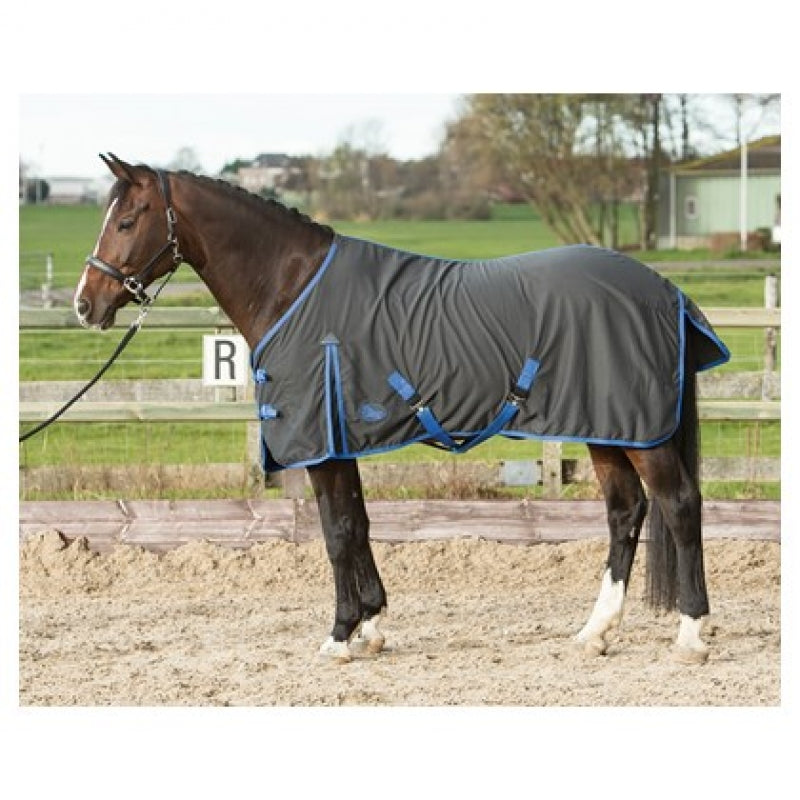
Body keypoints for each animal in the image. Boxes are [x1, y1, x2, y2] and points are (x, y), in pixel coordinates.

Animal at [74, 153, 730, 665]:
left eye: (127, 221)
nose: (85, 304)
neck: (292, 286)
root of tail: (664, 289)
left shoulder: (323, 443)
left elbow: (336, 532)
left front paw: (340, 635)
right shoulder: (341, 440)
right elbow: (358, 523)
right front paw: (371, 625)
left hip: (641, 433)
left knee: (679, 505)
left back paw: (692, 635)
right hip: (608, 429)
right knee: (625, 512)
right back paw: (595, 633)